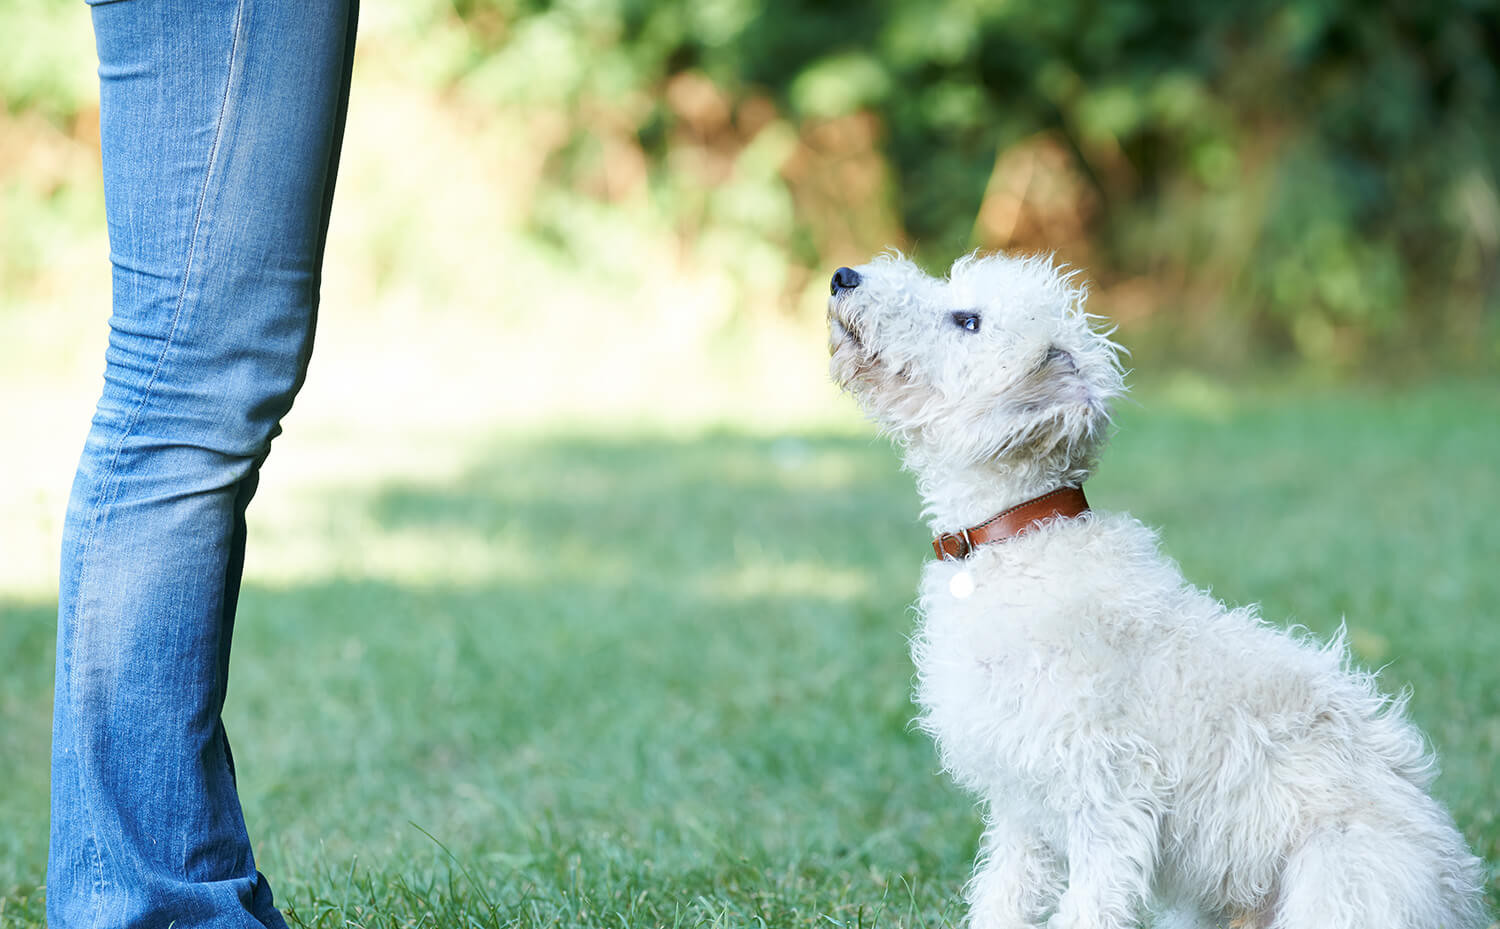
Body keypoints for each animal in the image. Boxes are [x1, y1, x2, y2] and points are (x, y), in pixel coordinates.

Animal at [828, 252, 1494, 929]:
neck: (1022, 539)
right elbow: (1003, 897)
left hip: (1337, 882)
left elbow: (1086, 908)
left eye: (967, 320)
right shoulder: (1021, 810)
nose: (843, 276)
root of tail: (1457, 895)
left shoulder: (1108, 800)